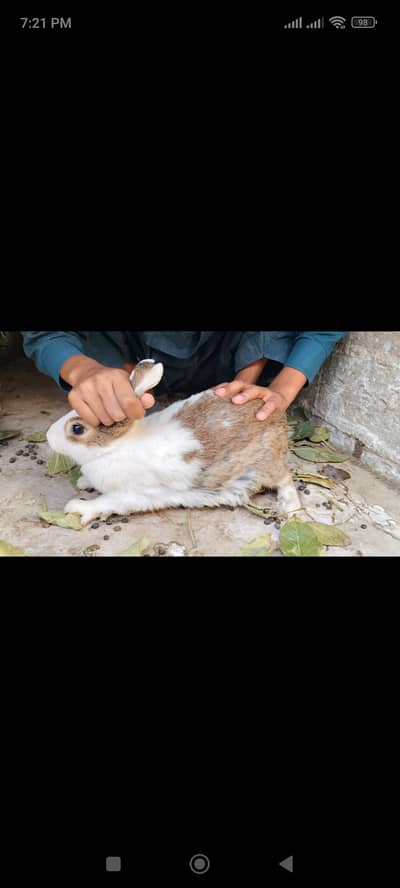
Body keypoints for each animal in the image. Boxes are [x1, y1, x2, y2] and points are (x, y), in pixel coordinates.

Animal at [46, 359, 301, 526]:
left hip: (266, 464)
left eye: (77, 428)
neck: (116, 447)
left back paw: (290, 509)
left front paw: (78, 508)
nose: (48, 436)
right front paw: (83, 482)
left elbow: (106, 502)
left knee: (285, 478)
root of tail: (277, 414)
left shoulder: (133, 494)